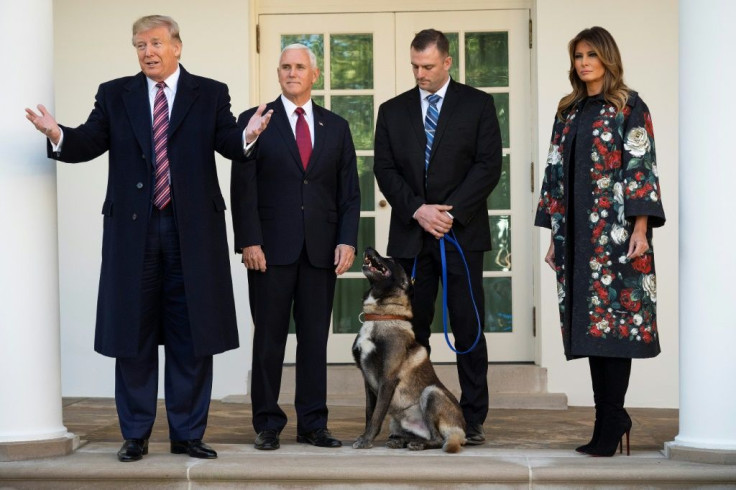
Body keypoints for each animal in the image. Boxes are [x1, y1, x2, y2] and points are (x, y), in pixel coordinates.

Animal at [352, 247, 466, 454]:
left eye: (392, 260)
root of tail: (460, 431)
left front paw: (365, 440)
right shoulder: (367, 380)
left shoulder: (387, 379)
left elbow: (376, 416)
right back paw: (401, 440)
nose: (368, 248)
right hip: (397, 421)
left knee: (437, 439)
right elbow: (369, 413)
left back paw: (418, 444)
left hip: (431, 393)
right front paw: (364, 436)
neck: (381, 316)